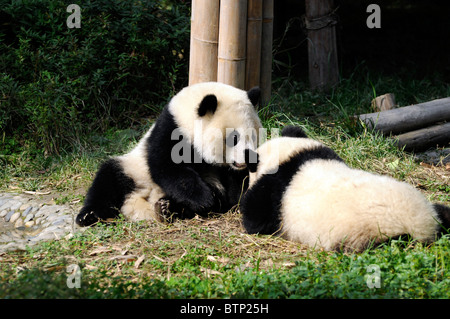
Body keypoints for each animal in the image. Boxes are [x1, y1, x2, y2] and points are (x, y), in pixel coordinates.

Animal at [75, 82, 262, 228]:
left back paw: (165, 208)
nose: (248, 157)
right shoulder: (170, 128)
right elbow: (166, 167)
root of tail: (139, 202)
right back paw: (89, 216)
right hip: (132, 168)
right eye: (233, 137)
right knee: (107, 179)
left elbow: (236, 186)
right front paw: (203, 197)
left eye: (252, 136)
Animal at [241, 125, 450, 252]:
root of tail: (424, 226)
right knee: (442, 212)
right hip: (425, 206)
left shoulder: (274, 192)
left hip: (369, 234)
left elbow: (255, 217)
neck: (291, 156)